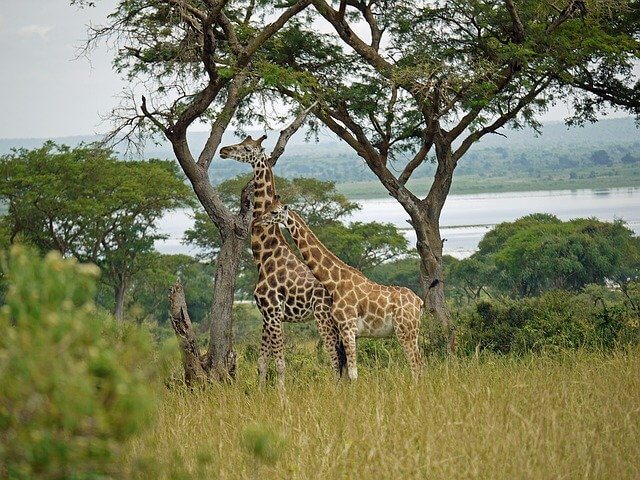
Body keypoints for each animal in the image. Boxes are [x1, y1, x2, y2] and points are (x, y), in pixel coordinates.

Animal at [219, 135, 345, 388]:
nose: (223, 150)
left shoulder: (273, 311)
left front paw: (282, 395)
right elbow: (261, 362)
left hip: (324, 318)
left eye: (246, 148)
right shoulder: (266, 314)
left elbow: (279, 363)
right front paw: (261, 393)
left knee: (335, 359)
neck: (265, 253)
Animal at [258, 200, 424, 380]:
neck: (334, 282)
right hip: (412, 331)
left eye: (274, 212)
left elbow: (352, 373)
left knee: (416, 365)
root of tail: (419, 301)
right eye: (268, 208)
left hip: (405, 330)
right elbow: (346, 372)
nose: (260, 220)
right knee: (419, 362)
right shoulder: (350, 331)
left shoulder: (347, 327)